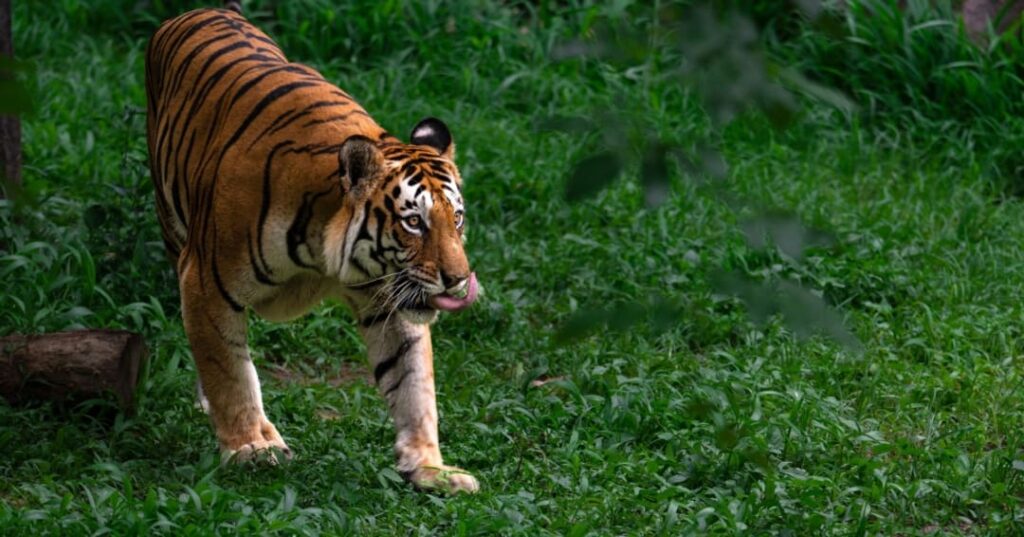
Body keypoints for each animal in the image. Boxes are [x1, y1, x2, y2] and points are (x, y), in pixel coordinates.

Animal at [145, 0, 480, 493]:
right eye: (414, 222)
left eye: (456, 219)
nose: (456, 281)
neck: (325, 256)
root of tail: (206, 10)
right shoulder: (205, 283)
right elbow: (229, 370)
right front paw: (251, 447)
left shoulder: (390, 300)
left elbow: (413, 383)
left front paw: (429, 468)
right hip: (172, 223)